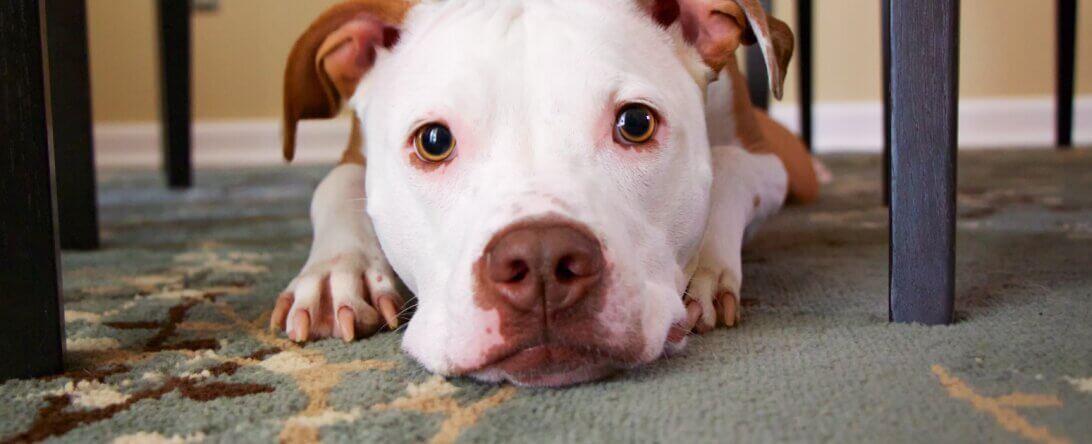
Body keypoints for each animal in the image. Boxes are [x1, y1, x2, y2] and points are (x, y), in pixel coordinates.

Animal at [273, 0, 821, 388]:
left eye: (636, 123)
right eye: (433, 141)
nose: (540, 260)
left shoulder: (769, 161)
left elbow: (728, 165)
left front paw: (706, 268)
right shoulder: (354, 154)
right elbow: (334, 185)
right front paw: (337, 275)